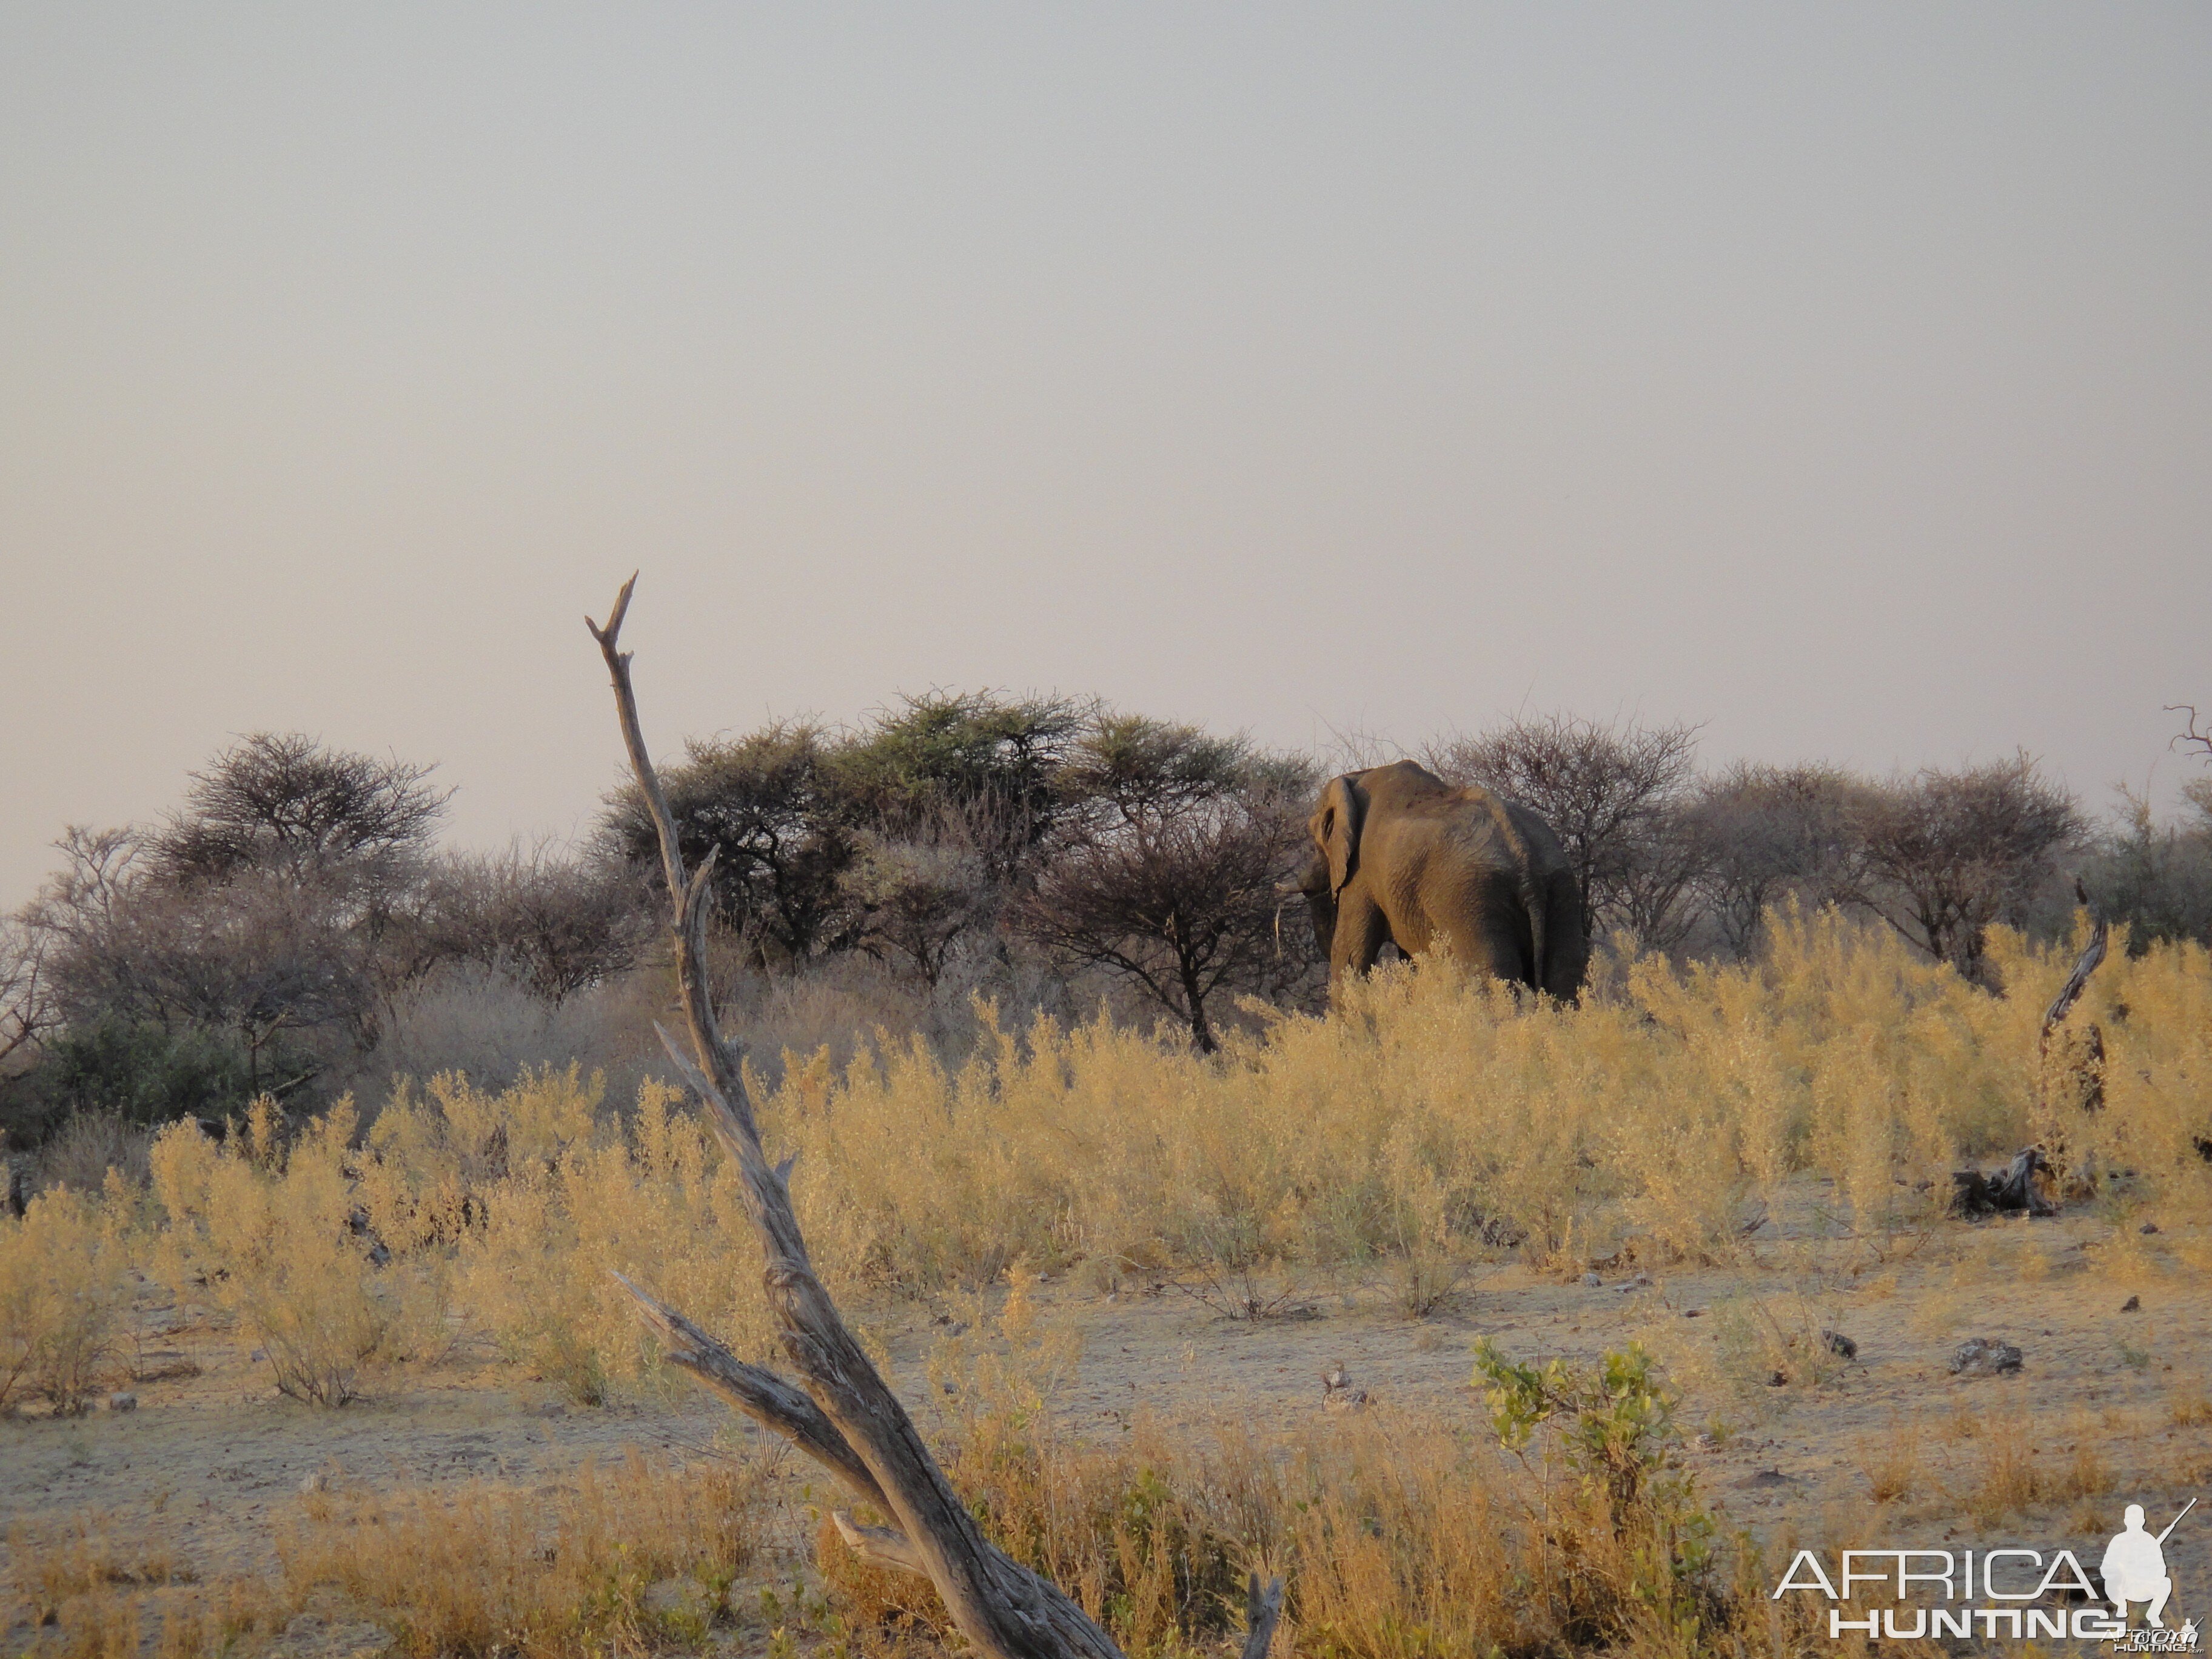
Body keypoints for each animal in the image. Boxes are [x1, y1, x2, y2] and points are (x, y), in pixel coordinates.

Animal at [1292, 765, 1592, 999]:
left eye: (1316, 834)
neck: (1358, 777)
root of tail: (1522, 850)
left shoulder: (1362, 874)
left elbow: (1349, 956)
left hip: (1471, 897)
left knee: (1491, 978)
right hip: (1560, 887)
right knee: (1563, 980)